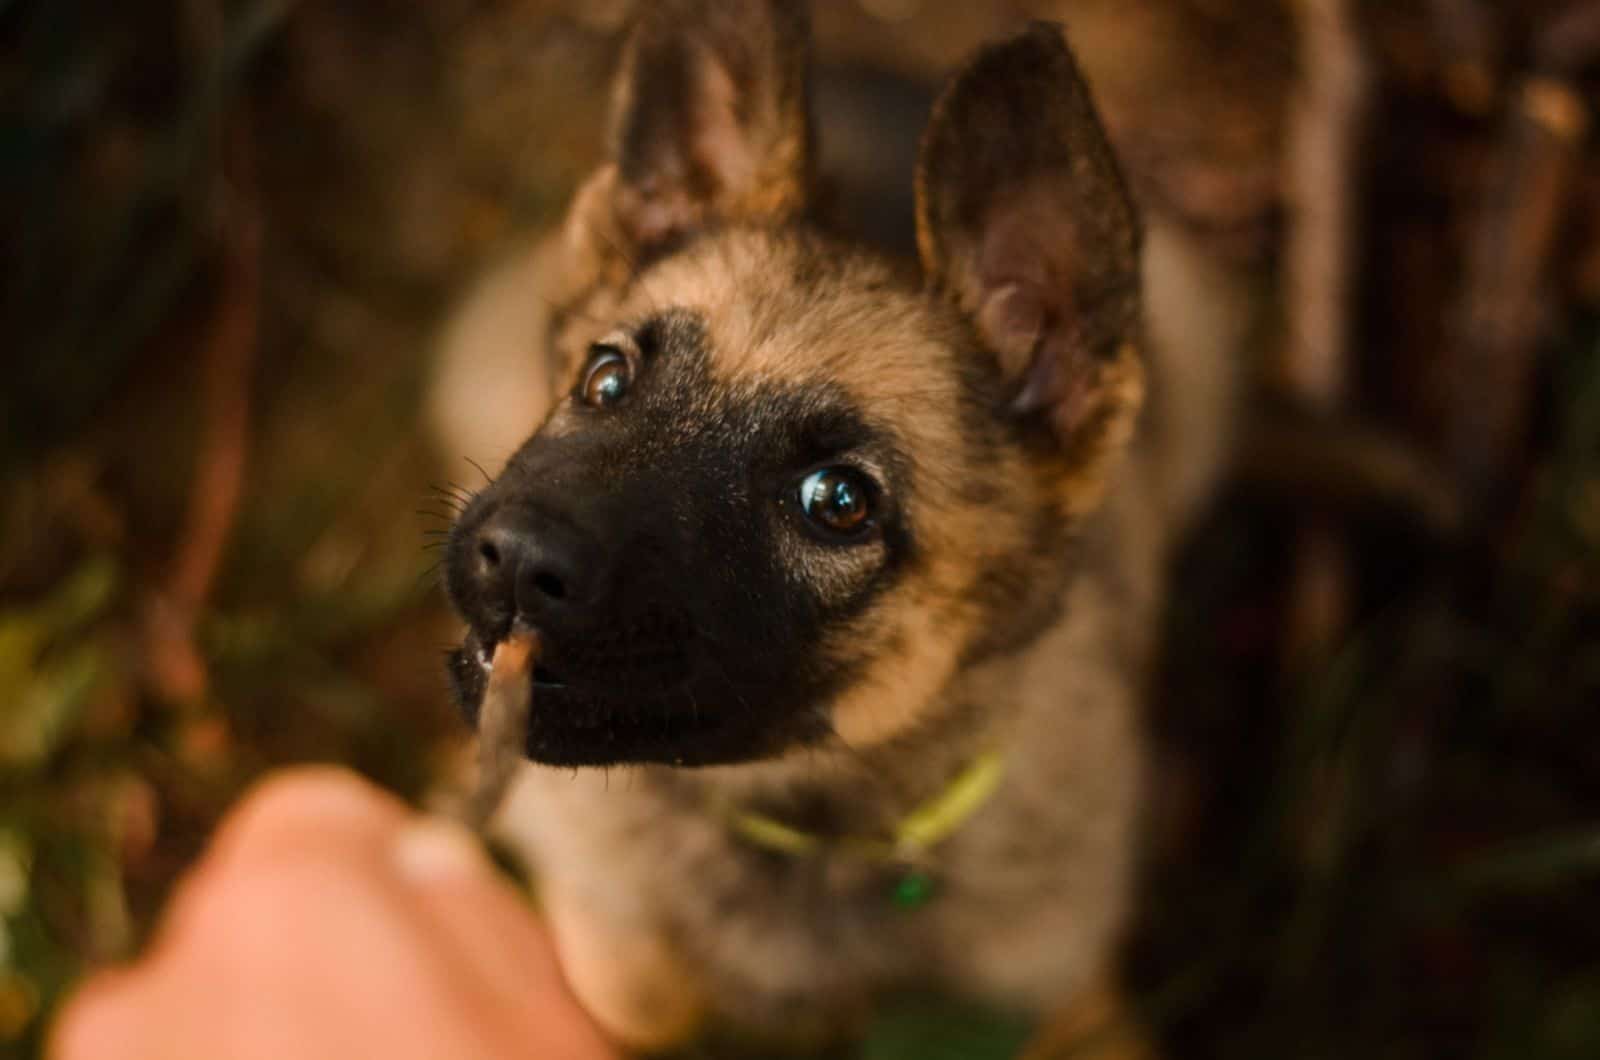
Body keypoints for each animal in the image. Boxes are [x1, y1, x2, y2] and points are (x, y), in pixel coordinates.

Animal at [444, 0, 1241, 1043]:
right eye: (606, 378)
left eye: (838, 501)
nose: (510, 558)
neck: (805, 838)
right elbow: (634, 988)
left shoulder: (1063, 991)